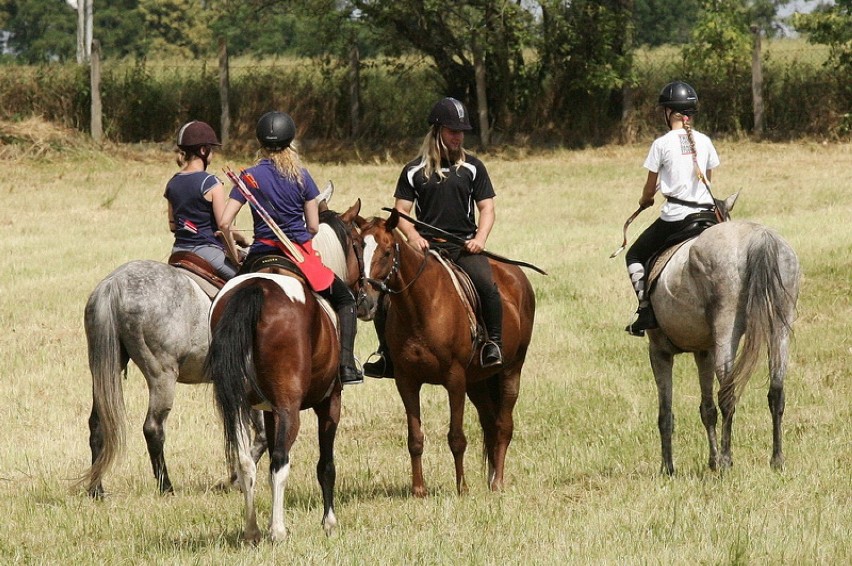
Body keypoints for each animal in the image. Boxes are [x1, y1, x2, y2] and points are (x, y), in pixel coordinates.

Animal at [75, 192, 362, 502]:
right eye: (359, 244)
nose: (366, 298)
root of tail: (113, 285)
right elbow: (260, 435)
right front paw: (235, 478)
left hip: (105, 367)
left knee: (98, 423)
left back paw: (96, 488)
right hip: (162, 375)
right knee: (153, 427)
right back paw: (166, 487)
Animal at [207, 202, 366, 544]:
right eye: (359, 244)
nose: (367, 300)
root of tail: (257, 288)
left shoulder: (268, 411)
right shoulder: (330, 402)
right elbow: (326, 464)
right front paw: (329, 522)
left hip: (238, 404)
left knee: (246, 462)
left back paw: (252, 530)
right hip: (290, 407)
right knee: (281, 460)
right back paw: (277, 531)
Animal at [356, 212, 536, 496]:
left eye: (386, 252)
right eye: (357, 250)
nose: (364, 303)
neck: (420, 306)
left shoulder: (455, 379)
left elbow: (456, 437)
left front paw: (462, 488)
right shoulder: (406, 381)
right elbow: (415, 438)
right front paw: (419, 489)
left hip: (511, 370)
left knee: (504, 426)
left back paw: (497, 482)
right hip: (478, 382)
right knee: (489, 424)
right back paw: (491, 478)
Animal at [644, 197, 800, 478]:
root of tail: (758, 237)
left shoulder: (659, 351)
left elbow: (666, 413)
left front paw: (668, 468)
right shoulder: (703, 351)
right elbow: (707, 410)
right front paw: (712, 460)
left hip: (726, 328)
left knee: (727, 394)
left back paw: (727, 461)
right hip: (780, 326)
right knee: (776, 392)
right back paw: (777, 460)